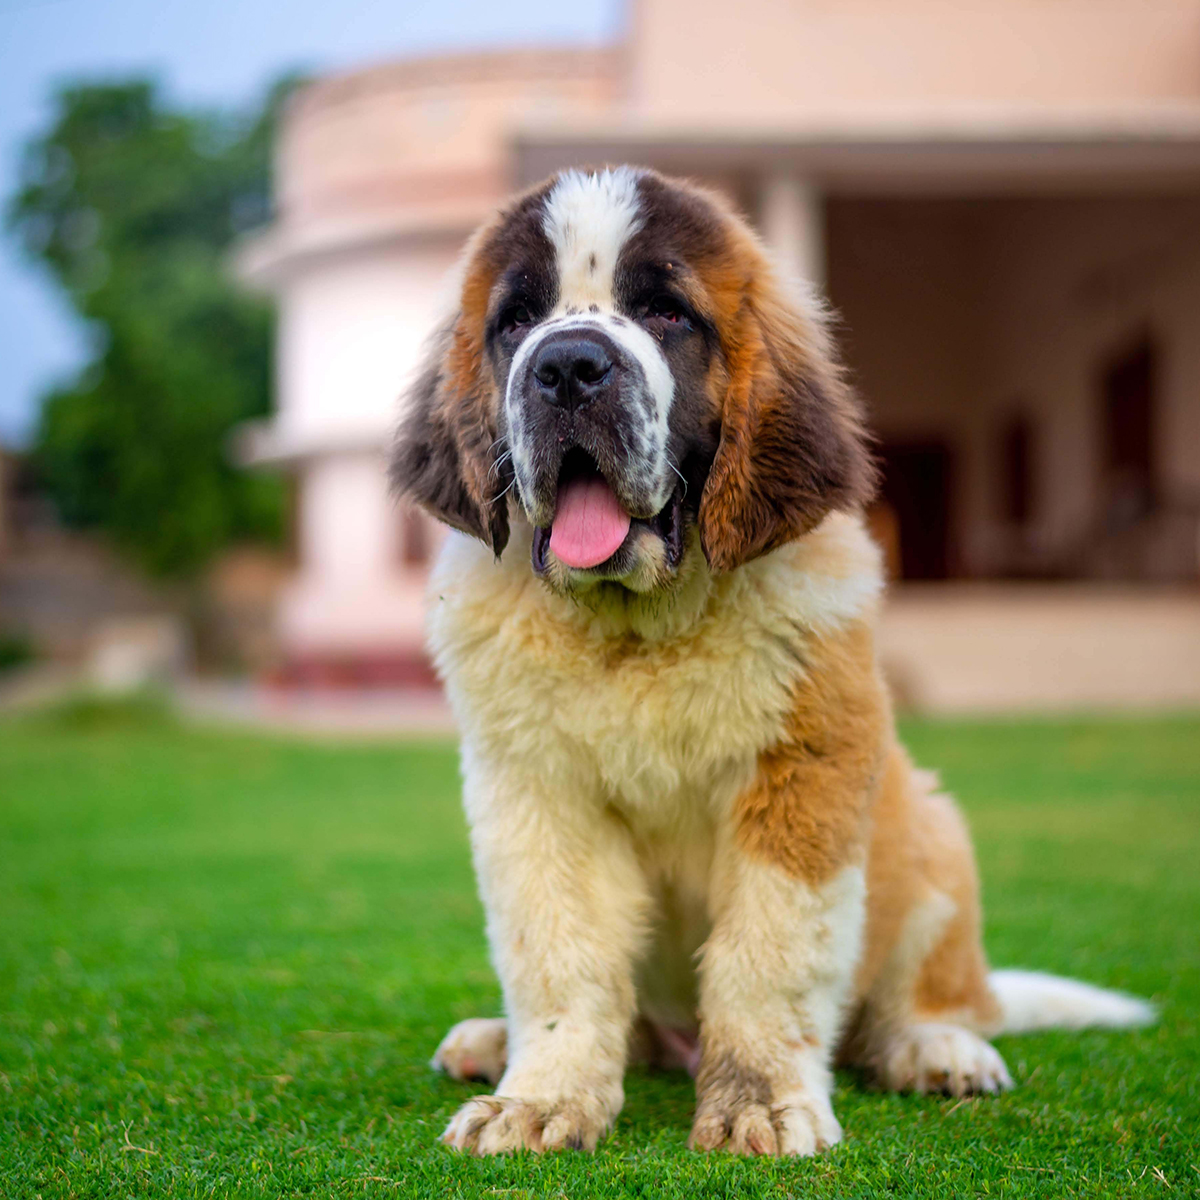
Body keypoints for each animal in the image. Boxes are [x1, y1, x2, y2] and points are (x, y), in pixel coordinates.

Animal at [391, 164, 1152, 1156]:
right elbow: (561, 954)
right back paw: (496, 1041)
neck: (642, 629)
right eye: (516, 322)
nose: (567, 367)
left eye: (666, 312)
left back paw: (934, 1046)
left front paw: (758, 1099)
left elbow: (769, 951)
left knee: (916, 999)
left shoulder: (802, 778)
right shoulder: (536, 798)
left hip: (931, 834)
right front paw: (544, 1096)